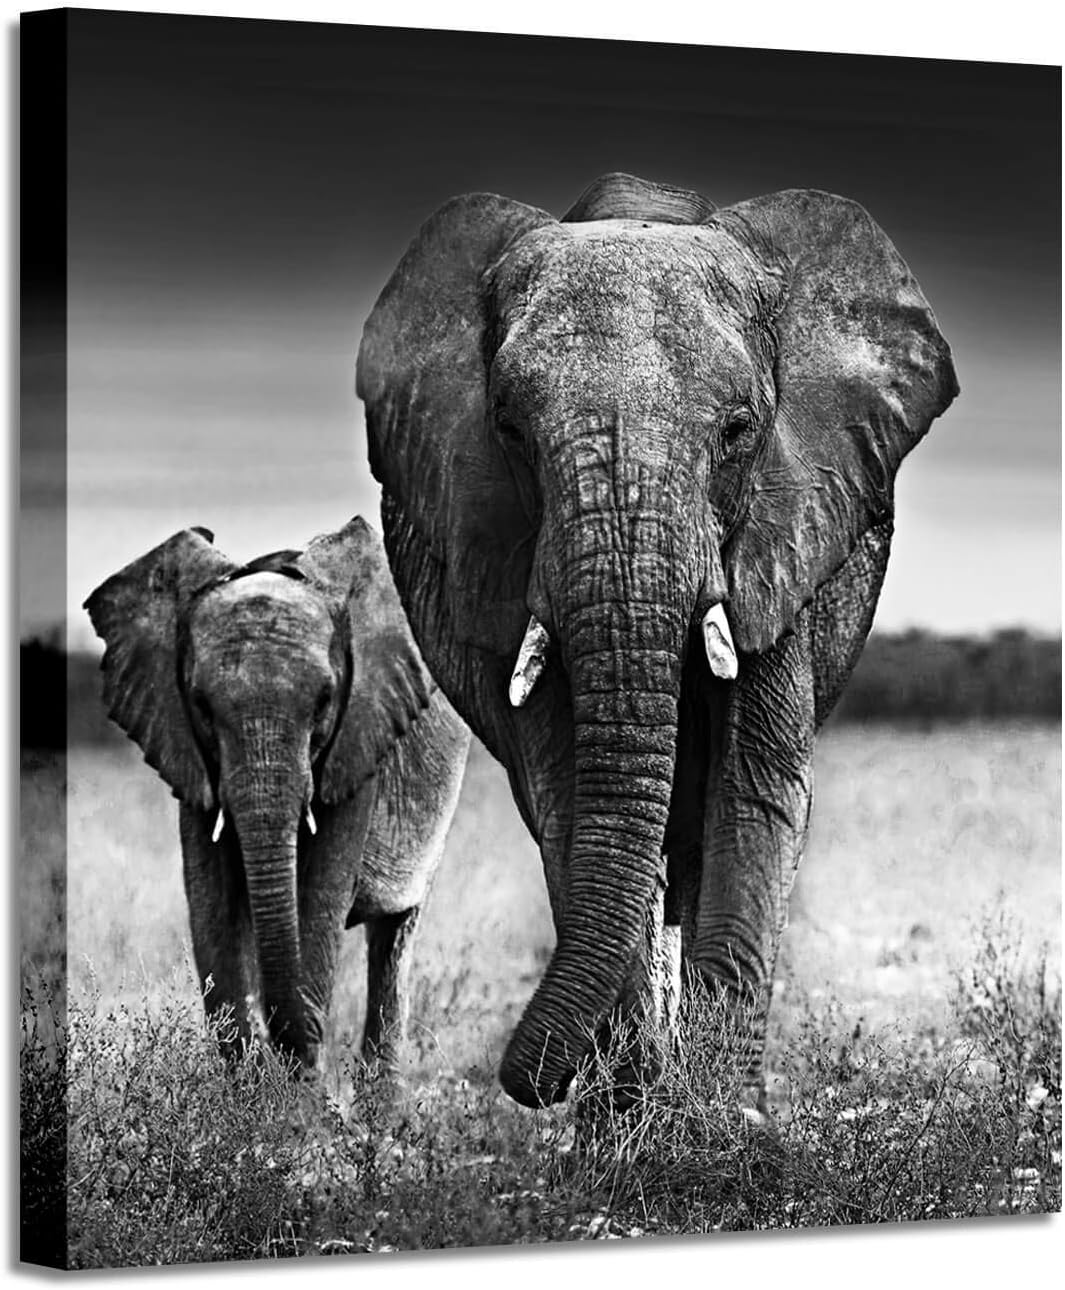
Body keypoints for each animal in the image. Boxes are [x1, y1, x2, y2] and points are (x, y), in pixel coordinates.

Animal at [84, 516, 471, 1074]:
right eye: (200, 704)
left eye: (327, 700)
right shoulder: (190, 754)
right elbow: (214, 910)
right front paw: (251, 1090)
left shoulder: (358, 742)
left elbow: (318, 903)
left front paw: (295, 1096)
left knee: (394, 936)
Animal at [356, 171, 958, 1113]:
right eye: (510, 431)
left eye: (738, 431)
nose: (527, 1083)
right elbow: (568, 798)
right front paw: (630, 1119)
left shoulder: (783, 528)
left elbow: (754, 790)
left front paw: (720, 1123)